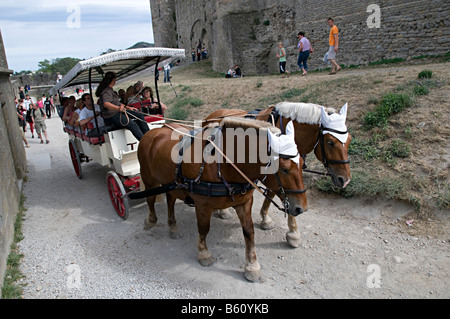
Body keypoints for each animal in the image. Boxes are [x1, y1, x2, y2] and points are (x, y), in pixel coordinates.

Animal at [139, 117, 308, 282]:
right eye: (284, 169)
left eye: (302, 164)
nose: (302, 208)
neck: (223, 163)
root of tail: (154, 132)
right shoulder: (202, 205)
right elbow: (203, 229)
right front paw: (204, 254)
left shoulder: (244, 202)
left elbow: (249, 232)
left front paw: (252, 267)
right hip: (149, 179)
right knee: (150, 199)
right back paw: (151, 220)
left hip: (171, 184)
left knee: (170, 200)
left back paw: (173, 226)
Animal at [204, 101, 352, 246]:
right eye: (330, 142)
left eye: (349, 139)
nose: (345, 179)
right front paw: (293, 232)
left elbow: (275, 192)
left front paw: (266, 218)